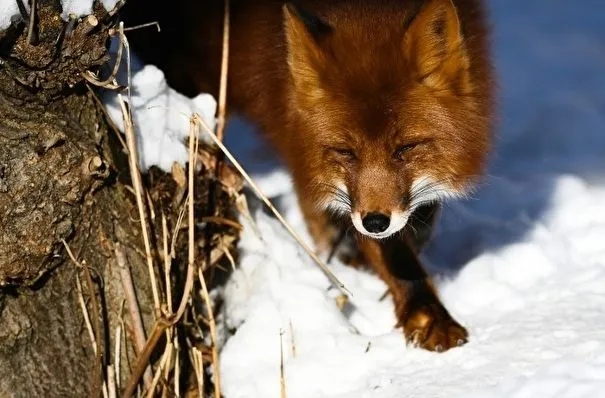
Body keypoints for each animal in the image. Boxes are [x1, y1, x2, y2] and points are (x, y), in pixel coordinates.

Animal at [121, 0, 490, 352]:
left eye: (406, 148)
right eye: (345, 152)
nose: (374, 223)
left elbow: (419, 221)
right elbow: (392, 251)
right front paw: (424, 313)